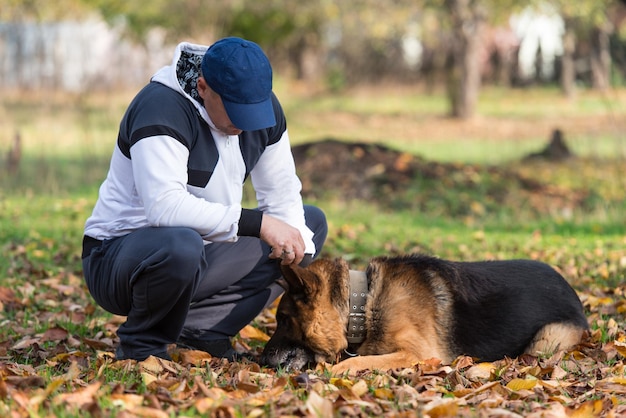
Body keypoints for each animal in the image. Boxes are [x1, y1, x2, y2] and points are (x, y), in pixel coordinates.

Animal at [260, 253, 588, 374]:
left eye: (283, 319)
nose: (261, 359)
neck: (363, 303)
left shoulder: (416, 353)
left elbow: (355, 361)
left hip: (546, 340)